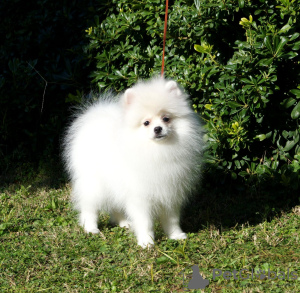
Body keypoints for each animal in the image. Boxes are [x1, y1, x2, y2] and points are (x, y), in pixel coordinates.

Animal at [63, 77, 204, 246]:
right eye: (146, 123)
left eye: (166, 118)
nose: (158, 129)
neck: (158, 151)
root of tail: (96, 117)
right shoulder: (140, 196)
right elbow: (145, 221)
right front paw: (146, 241)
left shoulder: (170, 192)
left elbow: (172, 219)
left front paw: (176, 235)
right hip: (95, 183)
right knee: (89, 205)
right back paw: (90, 228)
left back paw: (124, 222)